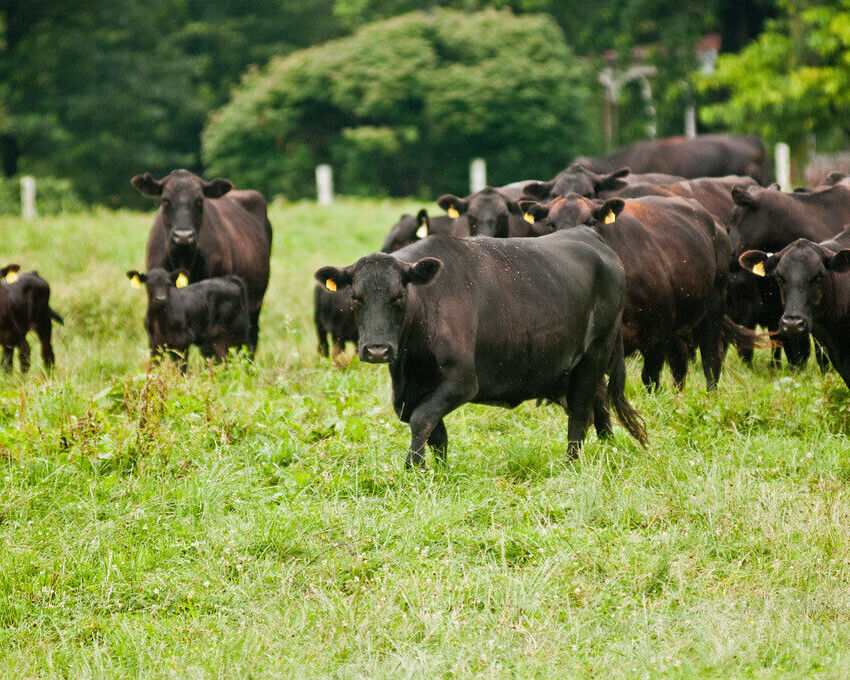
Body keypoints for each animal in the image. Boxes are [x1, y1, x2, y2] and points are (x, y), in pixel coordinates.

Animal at [314, 230, 647, 466]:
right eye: (355, 298)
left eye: (399, 296)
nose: (377, 350)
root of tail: (591, 237)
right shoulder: (412, 389)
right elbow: (434, 430)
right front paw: (440, 471)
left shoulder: (462, 380)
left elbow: (422, 419)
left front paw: (413, 467)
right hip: (567, 367)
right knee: (599, 403)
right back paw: (608, 449)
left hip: (596, 352)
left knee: (580, 411)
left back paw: (571, 464)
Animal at [519, 194, 762, 391]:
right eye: (550, 223)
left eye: (590, 222)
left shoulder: (656, 334)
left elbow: (650, 378)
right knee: (680, 361)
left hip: (713, 306)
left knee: (711, 358)